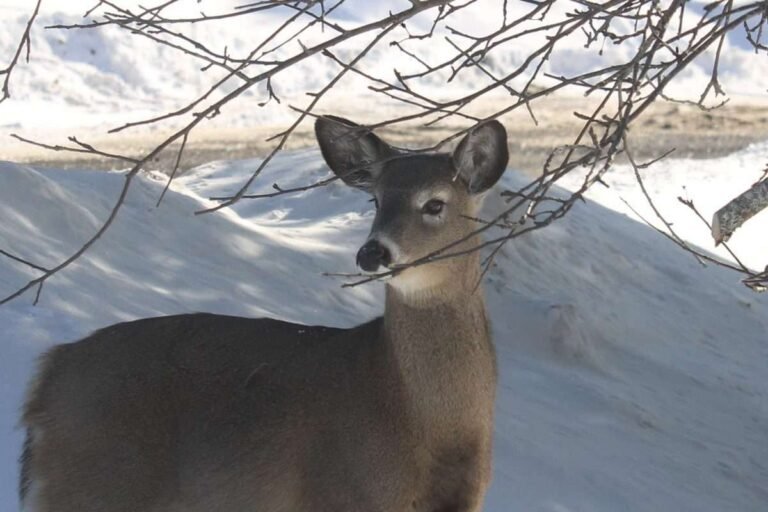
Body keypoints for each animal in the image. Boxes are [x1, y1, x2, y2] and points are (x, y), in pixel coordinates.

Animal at [19, 115, 510, 512]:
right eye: (375, 200)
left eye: (435, 203)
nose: (372, 252)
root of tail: (47, 377)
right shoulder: (344, 492)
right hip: (95, 483)